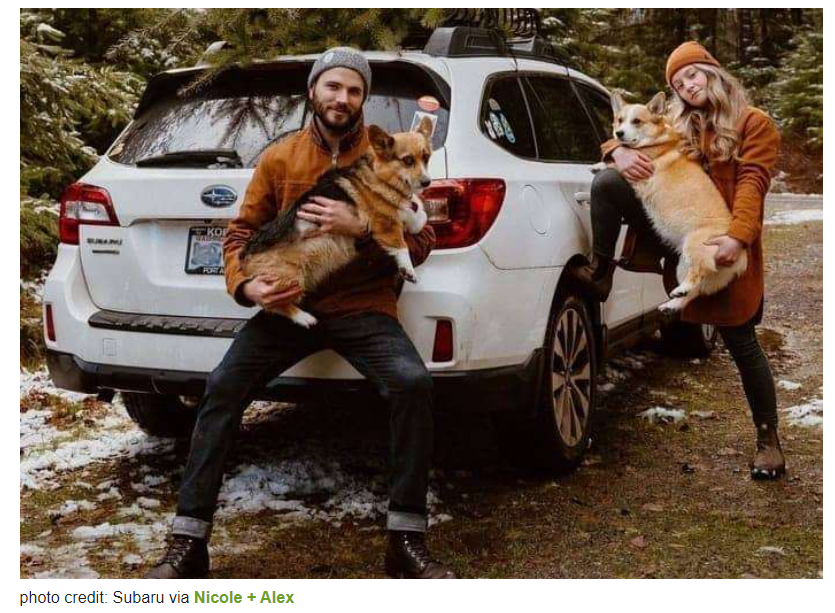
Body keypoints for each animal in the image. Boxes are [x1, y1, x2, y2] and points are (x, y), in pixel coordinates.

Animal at [238, 115, 434, 326]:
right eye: (408, 160)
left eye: (426, 158)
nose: (427, 183)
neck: (381, 177)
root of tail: (245, 256)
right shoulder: (385, 224)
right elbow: (401, 246)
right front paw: (409, 270)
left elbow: (417, 216)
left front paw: (417, 213)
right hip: (290, 278)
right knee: (274, 305)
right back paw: (303, 317)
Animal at [604, 92, 748, 314]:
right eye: (620, 120)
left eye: (636, 121)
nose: (619, 133)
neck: (656, 142)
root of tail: (741, 257)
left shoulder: (639, 171)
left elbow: (612, 165)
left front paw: (597, 165)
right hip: (682, 263)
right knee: (695, 291)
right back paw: (672, 303)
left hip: (694, 246)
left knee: (698, 273)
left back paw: (681, 290)